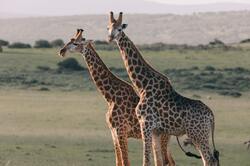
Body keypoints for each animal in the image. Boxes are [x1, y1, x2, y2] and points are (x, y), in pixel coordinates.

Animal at [59, 29, 176, 165]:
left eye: (76, 43)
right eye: (70, 40)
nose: (61, 51)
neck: (110, 97)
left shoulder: (121, 130)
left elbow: (125, 162)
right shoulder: (113, 133)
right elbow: (118, 162)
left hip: (162, 136)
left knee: (167, 161)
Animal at [106, 12, 220, 166]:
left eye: (119, 29)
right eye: (108, 28)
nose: (110, 38)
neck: (142, 85)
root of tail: (211, 116)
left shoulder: (146, 123)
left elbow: (146, 159)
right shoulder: (156, 130)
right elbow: (158, 160)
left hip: (197, 134)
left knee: (209, 159)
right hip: (201, 135)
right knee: (208, 158)